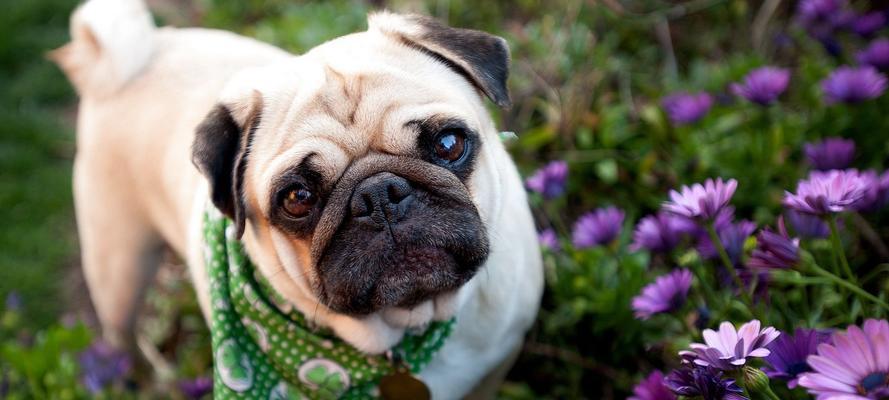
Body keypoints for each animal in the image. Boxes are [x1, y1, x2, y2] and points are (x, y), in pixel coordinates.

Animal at [55, 0, 544, 396]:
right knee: (120, 333)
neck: (406, 327)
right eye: (298, 197)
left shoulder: (496, 363)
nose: (380, 195)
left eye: (448, 144)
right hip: (119, 266)